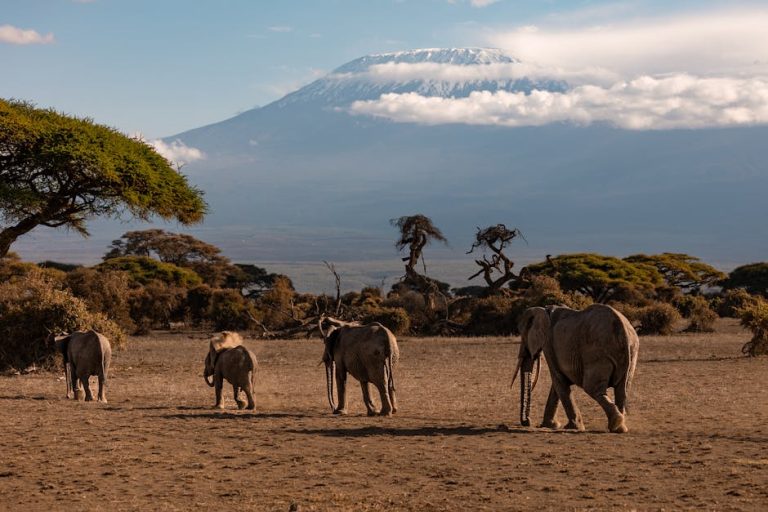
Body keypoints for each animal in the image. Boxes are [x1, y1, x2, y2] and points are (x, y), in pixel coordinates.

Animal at [512, 304, 640, 433]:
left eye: (523, 336)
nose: (528, 422)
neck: (544, 309)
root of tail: (623, 329)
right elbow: (557, 384)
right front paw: (550, 425)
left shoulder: (548, 343)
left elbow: (558, 380)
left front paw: (572, 427)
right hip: (631, 352)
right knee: (622, 389)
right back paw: (620, 428)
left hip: (597, 353)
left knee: (592, 388)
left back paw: (616, 423)